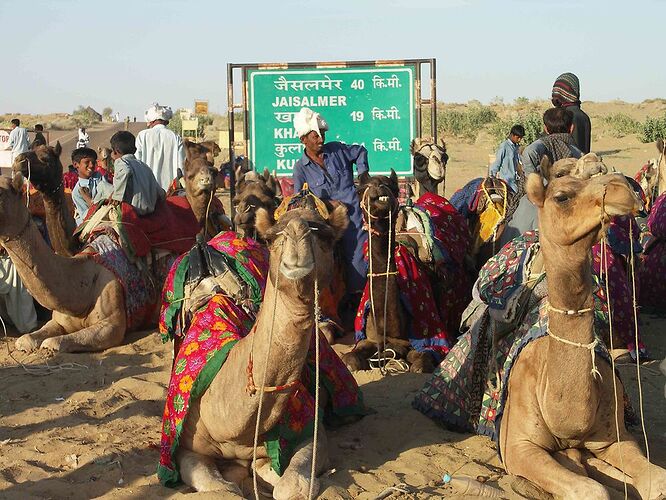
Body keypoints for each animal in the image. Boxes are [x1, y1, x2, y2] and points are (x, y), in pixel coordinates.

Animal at [157, 193, 364, 498]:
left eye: (325, 235)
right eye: (272, 237)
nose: (297, 233)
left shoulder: (312, 433)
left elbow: (289, 486)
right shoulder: (183, 447)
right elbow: (223, 489)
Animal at [498, 171, 664, 496]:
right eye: (562, 196)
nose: (624, 187)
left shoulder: (615, 437)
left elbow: (658, 480)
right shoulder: (517, 446)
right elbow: (592, 490)